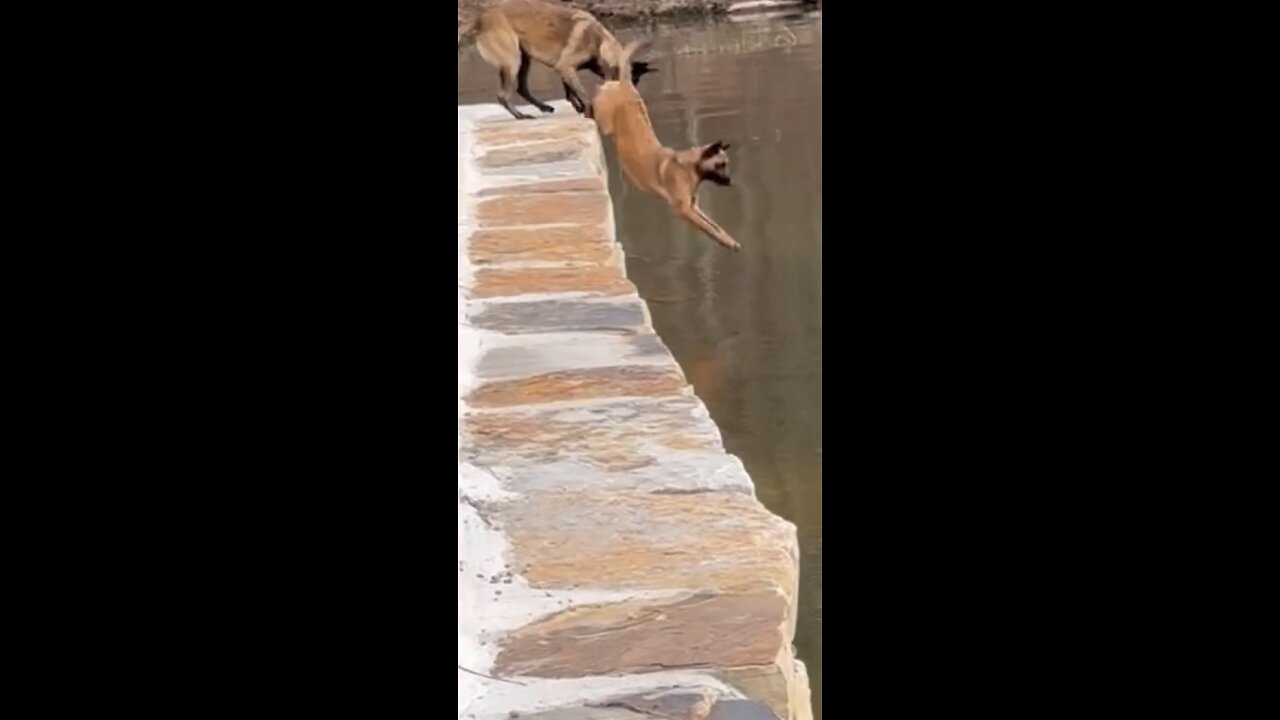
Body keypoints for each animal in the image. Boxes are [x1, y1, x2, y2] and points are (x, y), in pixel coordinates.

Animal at [460, 0, 655, 119]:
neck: (598, 41)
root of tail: (480, 18)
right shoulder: (566, 67)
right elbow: (582, 93)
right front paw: (587, 108)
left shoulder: (564, 69)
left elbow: (570, 92)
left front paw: (578, 106)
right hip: (512, 60)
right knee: (502, 95)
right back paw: (521, 116)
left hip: (524, 59)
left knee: (522, 88)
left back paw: (543, 107)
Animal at [586, 40, 742, 252]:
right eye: (721, 164)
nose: (730, 181)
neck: (689, 168)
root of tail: (626, 85)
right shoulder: (684, 210)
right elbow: (708, 228)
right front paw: (723, 241)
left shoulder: (694, 208)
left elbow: (714, 225)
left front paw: (728, 239)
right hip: (605, 121)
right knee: (594, 100)